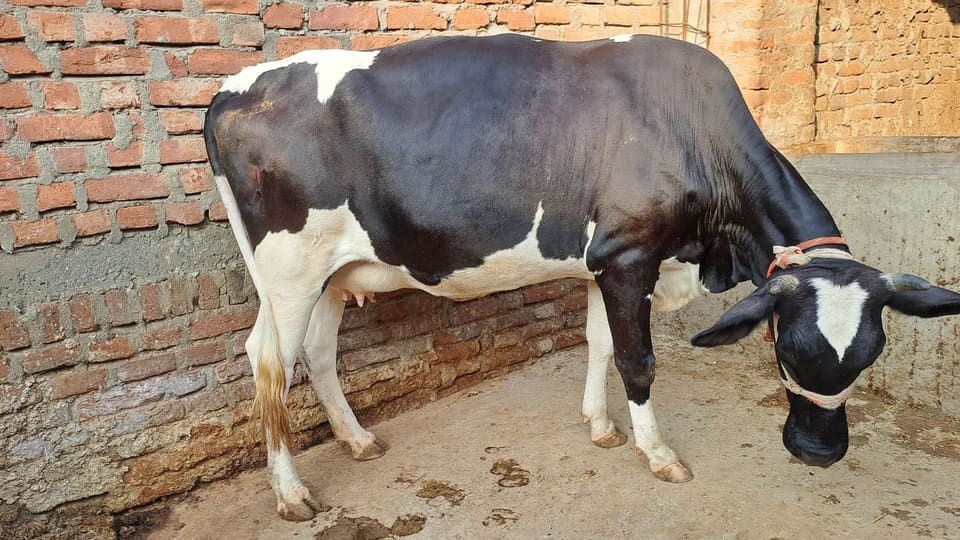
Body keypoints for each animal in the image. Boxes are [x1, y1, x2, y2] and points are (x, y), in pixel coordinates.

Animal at [203, 34, 960, 520]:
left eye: (872, 353)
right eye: (786, 347)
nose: (818, 452)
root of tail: (237, 86)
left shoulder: (607, 264)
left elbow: (599, 345)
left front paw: (600, 426)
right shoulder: (629, 256)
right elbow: (637, 359)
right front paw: (656, 452)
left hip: (334, 272)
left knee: (316, 353)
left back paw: (358, 441)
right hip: (291, 269)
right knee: (271, 362)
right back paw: (291, 494)